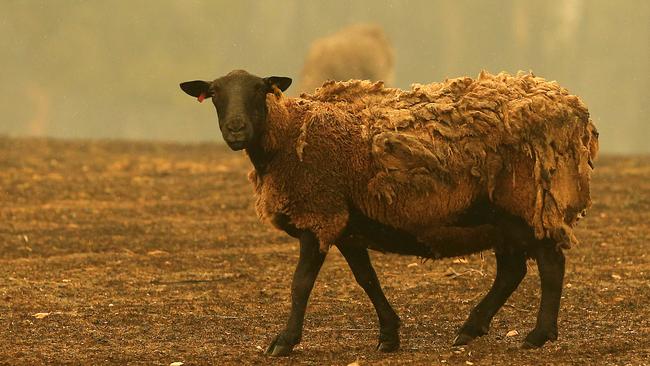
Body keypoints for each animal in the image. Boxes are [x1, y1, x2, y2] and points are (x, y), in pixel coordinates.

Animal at [178, 68, 596, 354]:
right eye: (214, 94)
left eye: (260, 90)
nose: (236, 130)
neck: (289, 134)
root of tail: (575, 110)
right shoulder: (347, 225)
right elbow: (367, 280)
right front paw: (389, 335)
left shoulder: (320, 213)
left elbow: (300, 284)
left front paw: (284, 341)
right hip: (501, 217)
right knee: (512, 271)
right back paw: (470, 329)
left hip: (530, 203)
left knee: (550, 265)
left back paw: (538, 335)